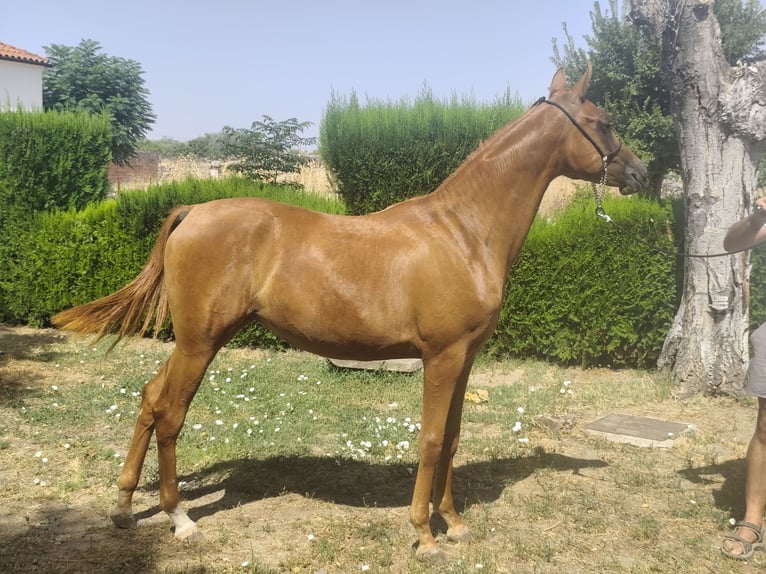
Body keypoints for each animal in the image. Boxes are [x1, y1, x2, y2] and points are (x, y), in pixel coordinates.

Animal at [52, 63, 647, 560]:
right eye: (604, 122)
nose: (641, 173)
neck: (463, 231)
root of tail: (193, 210)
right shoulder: (442, 356)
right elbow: (431, 439)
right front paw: (424, 534)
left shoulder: (466, 358)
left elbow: (454, 438)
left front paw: (454, 523)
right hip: (201, 342)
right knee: (170, 412)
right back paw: (180, 519)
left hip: (192, 341)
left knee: (149, 399)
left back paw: (125, 508)